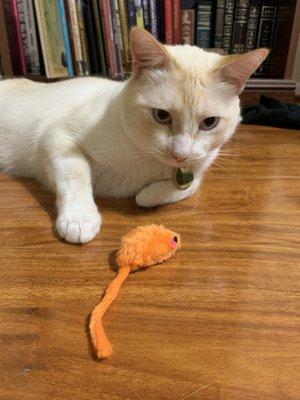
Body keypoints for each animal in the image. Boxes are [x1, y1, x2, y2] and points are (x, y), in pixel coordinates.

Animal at [0, 28, 268, 244]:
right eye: (161, 115)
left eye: (209, 123)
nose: (180, 155)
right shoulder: (57, 138)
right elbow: (76, 175)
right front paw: (80, 218)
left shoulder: (197, 169)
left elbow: (189, 187)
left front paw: (147, 194)